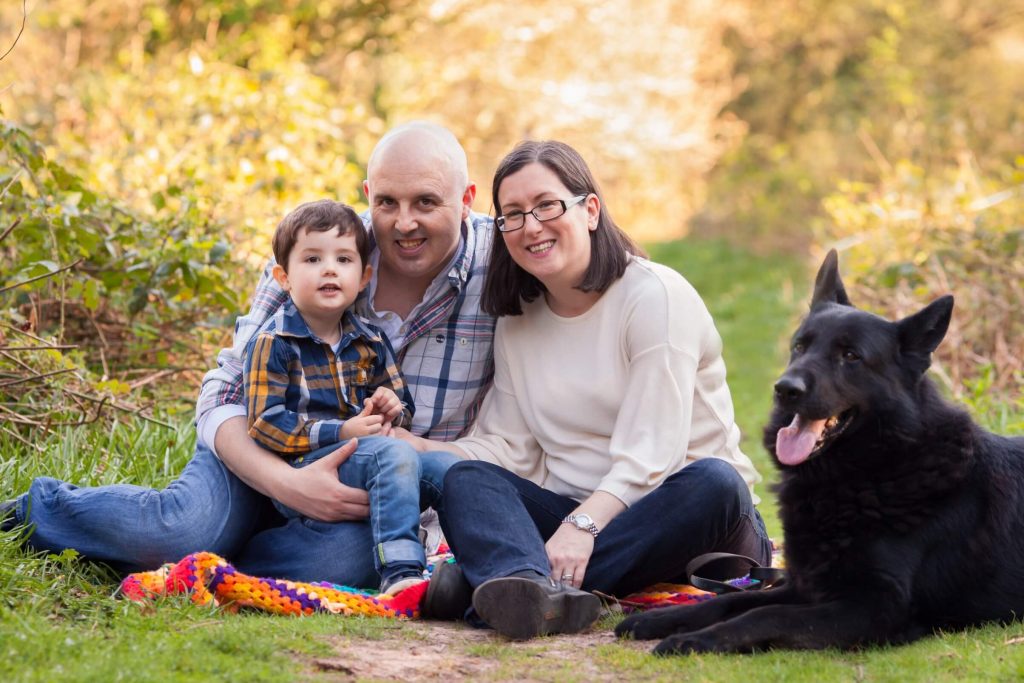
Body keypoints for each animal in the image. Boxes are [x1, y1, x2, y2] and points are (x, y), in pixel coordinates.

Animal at [614, 249, 1024, 651]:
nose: (785, 389)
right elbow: (733, 600)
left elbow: (765, 615)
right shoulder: (803, 583)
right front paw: (663, 619)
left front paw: (696, 639)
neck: (875, 469)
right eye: (800, 346)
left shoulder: (876, 606)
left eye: (851, 356)